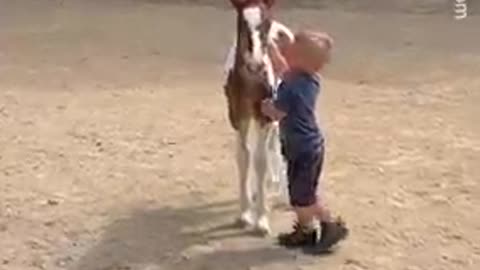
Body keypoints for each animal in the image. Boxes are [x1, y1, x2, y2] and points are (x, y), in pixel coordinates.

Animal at [223, 0, 290, 234]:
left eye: (265, 22)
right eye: (242, 22)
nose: (256, 63)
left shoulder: (264, 116)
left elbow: (260, 160)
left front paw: (261, 220)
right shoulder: (237, 116)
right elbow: (244, 156)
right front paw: (244, 214)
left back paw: (283, 191)